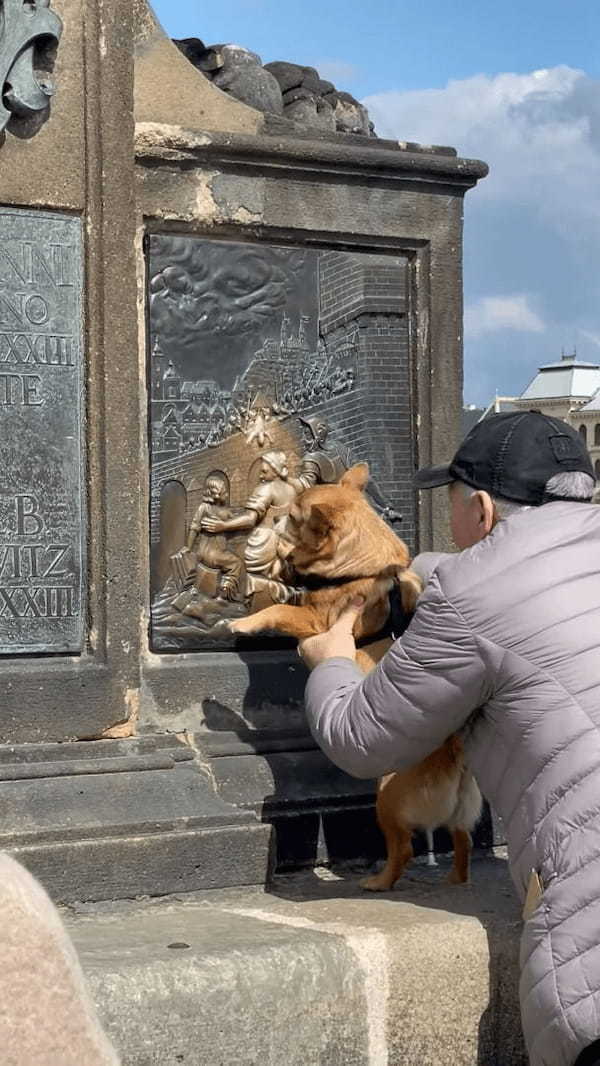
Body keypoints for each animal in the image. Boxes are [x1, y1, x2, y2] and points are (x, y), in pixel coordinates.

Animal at [230, 462, 483, 886]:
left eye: (294, 517)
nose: (273, 517)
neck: (358, 568)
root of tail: (455, 759)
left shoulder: (316, 621)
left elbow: (278, 611)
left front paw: (242, 622)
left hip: (387, 799)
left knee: (404, 849)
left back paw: (378, 882)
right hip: (459, 818)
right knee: (462, 843)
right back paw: (455, 880)